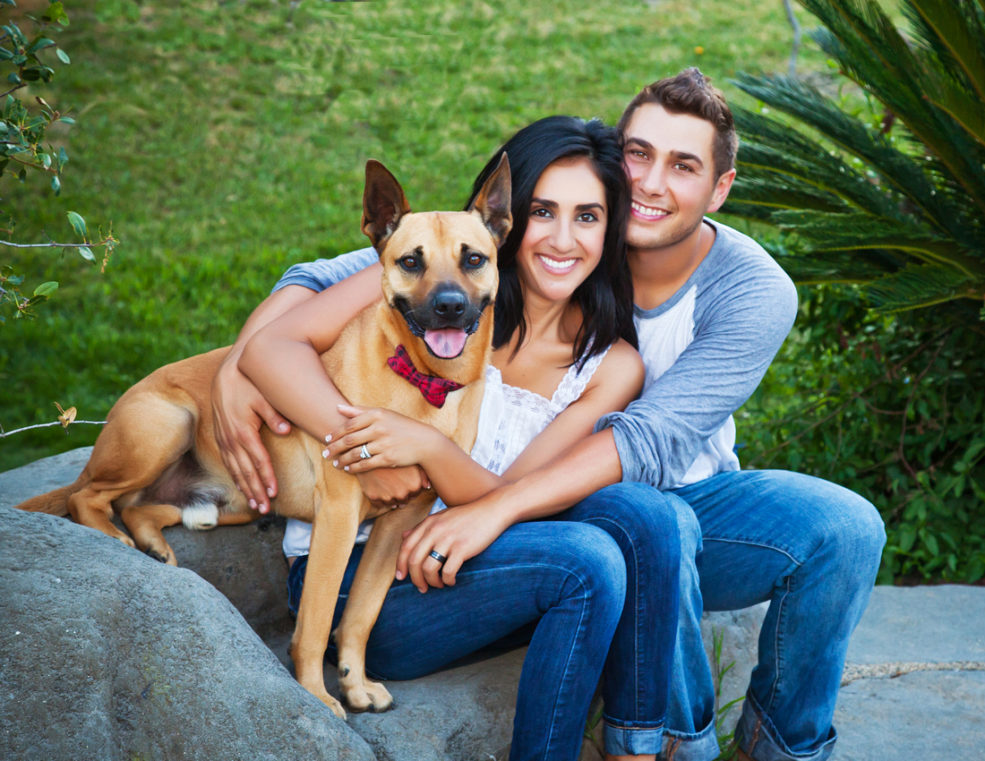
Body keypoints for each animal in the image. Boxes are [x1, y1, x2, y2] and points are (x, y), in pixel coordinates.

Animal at [17, 156, 516, 720]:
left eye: (473, 259)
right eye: (411, 261)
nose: (450, 307)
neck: (421, 382)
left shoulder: (399, 523)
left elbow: (360, 614)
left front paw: (355, 683)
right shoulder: (339, 515)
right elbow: (318, 618)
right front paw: (317, 695)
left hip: (237, 501)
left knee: (143, 508)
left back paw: (152, 543)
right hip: (169, 425)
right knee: (87, 496)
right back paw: (114, 535)